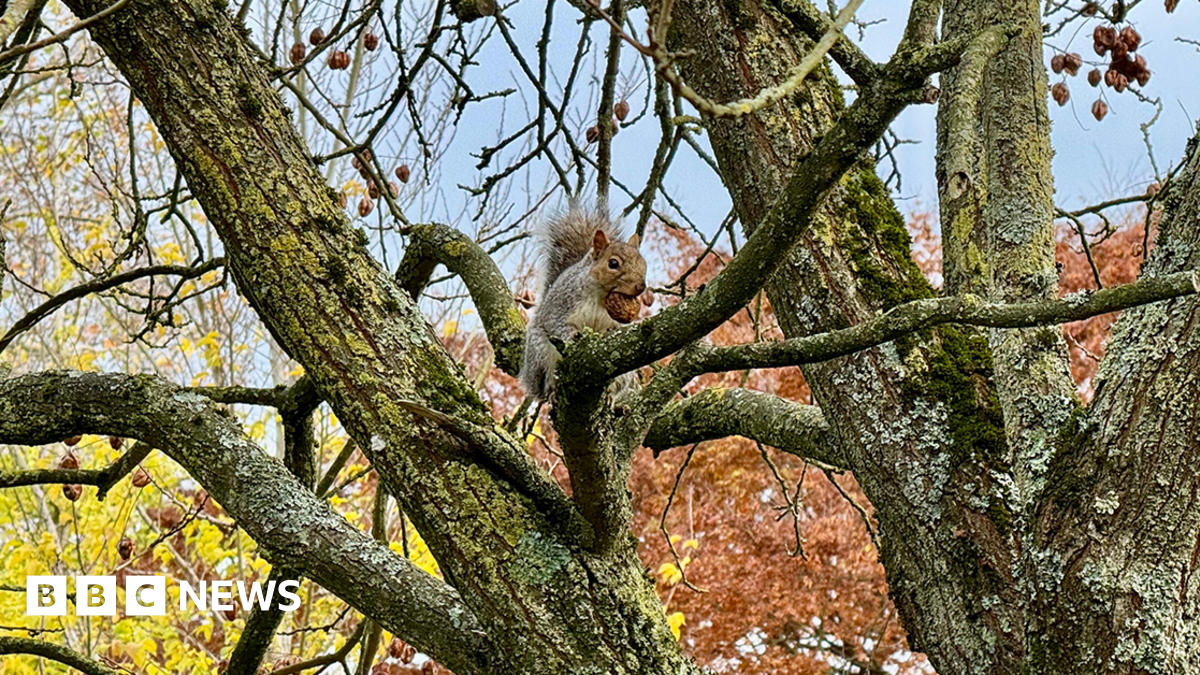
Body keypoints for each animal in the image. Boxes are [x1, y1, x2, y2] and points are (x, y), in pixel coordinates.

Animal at [520, 203, 648, 402]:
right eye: (613, 263)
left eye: (643, 263)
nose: (641, 286)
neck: (601, 296)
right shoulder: (562, 302)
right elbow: (555, 323)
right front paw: (573, 335)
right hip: (539, 353)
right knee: (546, 379)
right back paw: (552, 390)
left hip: (625, 374)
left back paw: (610, 394)